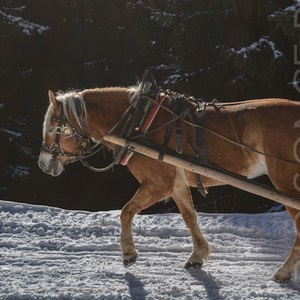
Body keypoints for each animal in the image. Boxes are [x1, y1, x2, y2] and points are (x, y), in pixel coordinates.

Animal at [38, 77, 300, 282]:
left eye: (53, 129)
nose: (42, 163)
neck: (138, 121)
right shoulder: (176, 184)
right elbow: (189, 216)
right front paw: (197, 255)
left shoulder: (158, 184)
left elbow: (126, 211)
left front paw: (128, 253)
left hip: (285, 181)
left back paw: (284, 270)